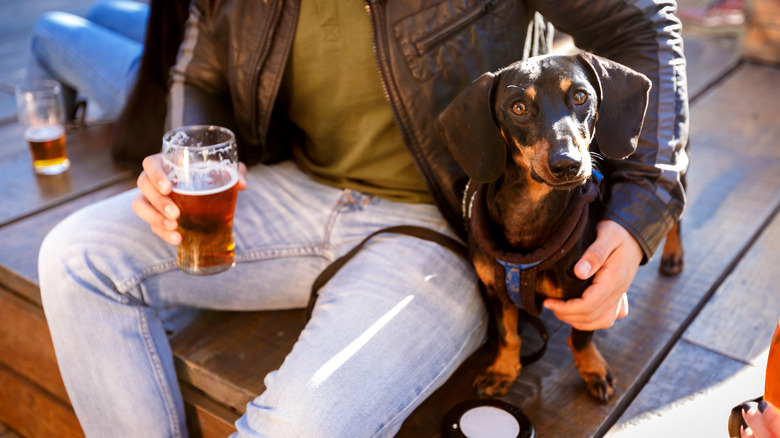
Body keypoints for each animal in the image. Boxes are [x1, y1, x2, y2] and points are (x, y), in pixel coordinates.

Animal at [436, 53, 684, 402]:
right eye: (518, 107)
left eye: (580, 96)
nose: (567, 164)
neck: (530, 211)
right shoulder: (495, 291)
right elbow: (508, 334)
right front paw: (503, 370)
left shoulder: (588, 293)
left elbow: (581, 337)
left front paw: (593, 369)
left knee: (675, 210)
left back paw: (674, 254)